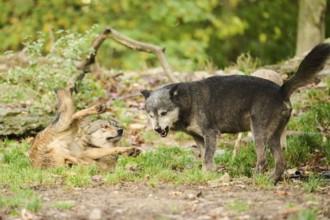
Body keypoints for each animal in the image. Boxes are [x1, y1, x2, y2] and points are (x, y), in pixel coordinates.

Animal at [141, 43, 330, 184]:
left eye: (163, 113)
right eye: (151, 115)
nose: (157, 129)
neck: (188, 101)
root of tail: (281, 90)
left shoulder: (211, 134)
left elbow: (206, 160)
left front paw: (207, 178)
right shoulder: (200, 138)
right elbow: (206, 160)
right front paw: (209, 175)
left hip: (258, 134)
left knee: (262, 161)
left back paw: (254, 181)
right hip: (272, 137)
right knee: (280, 163)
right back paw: (270, 181)